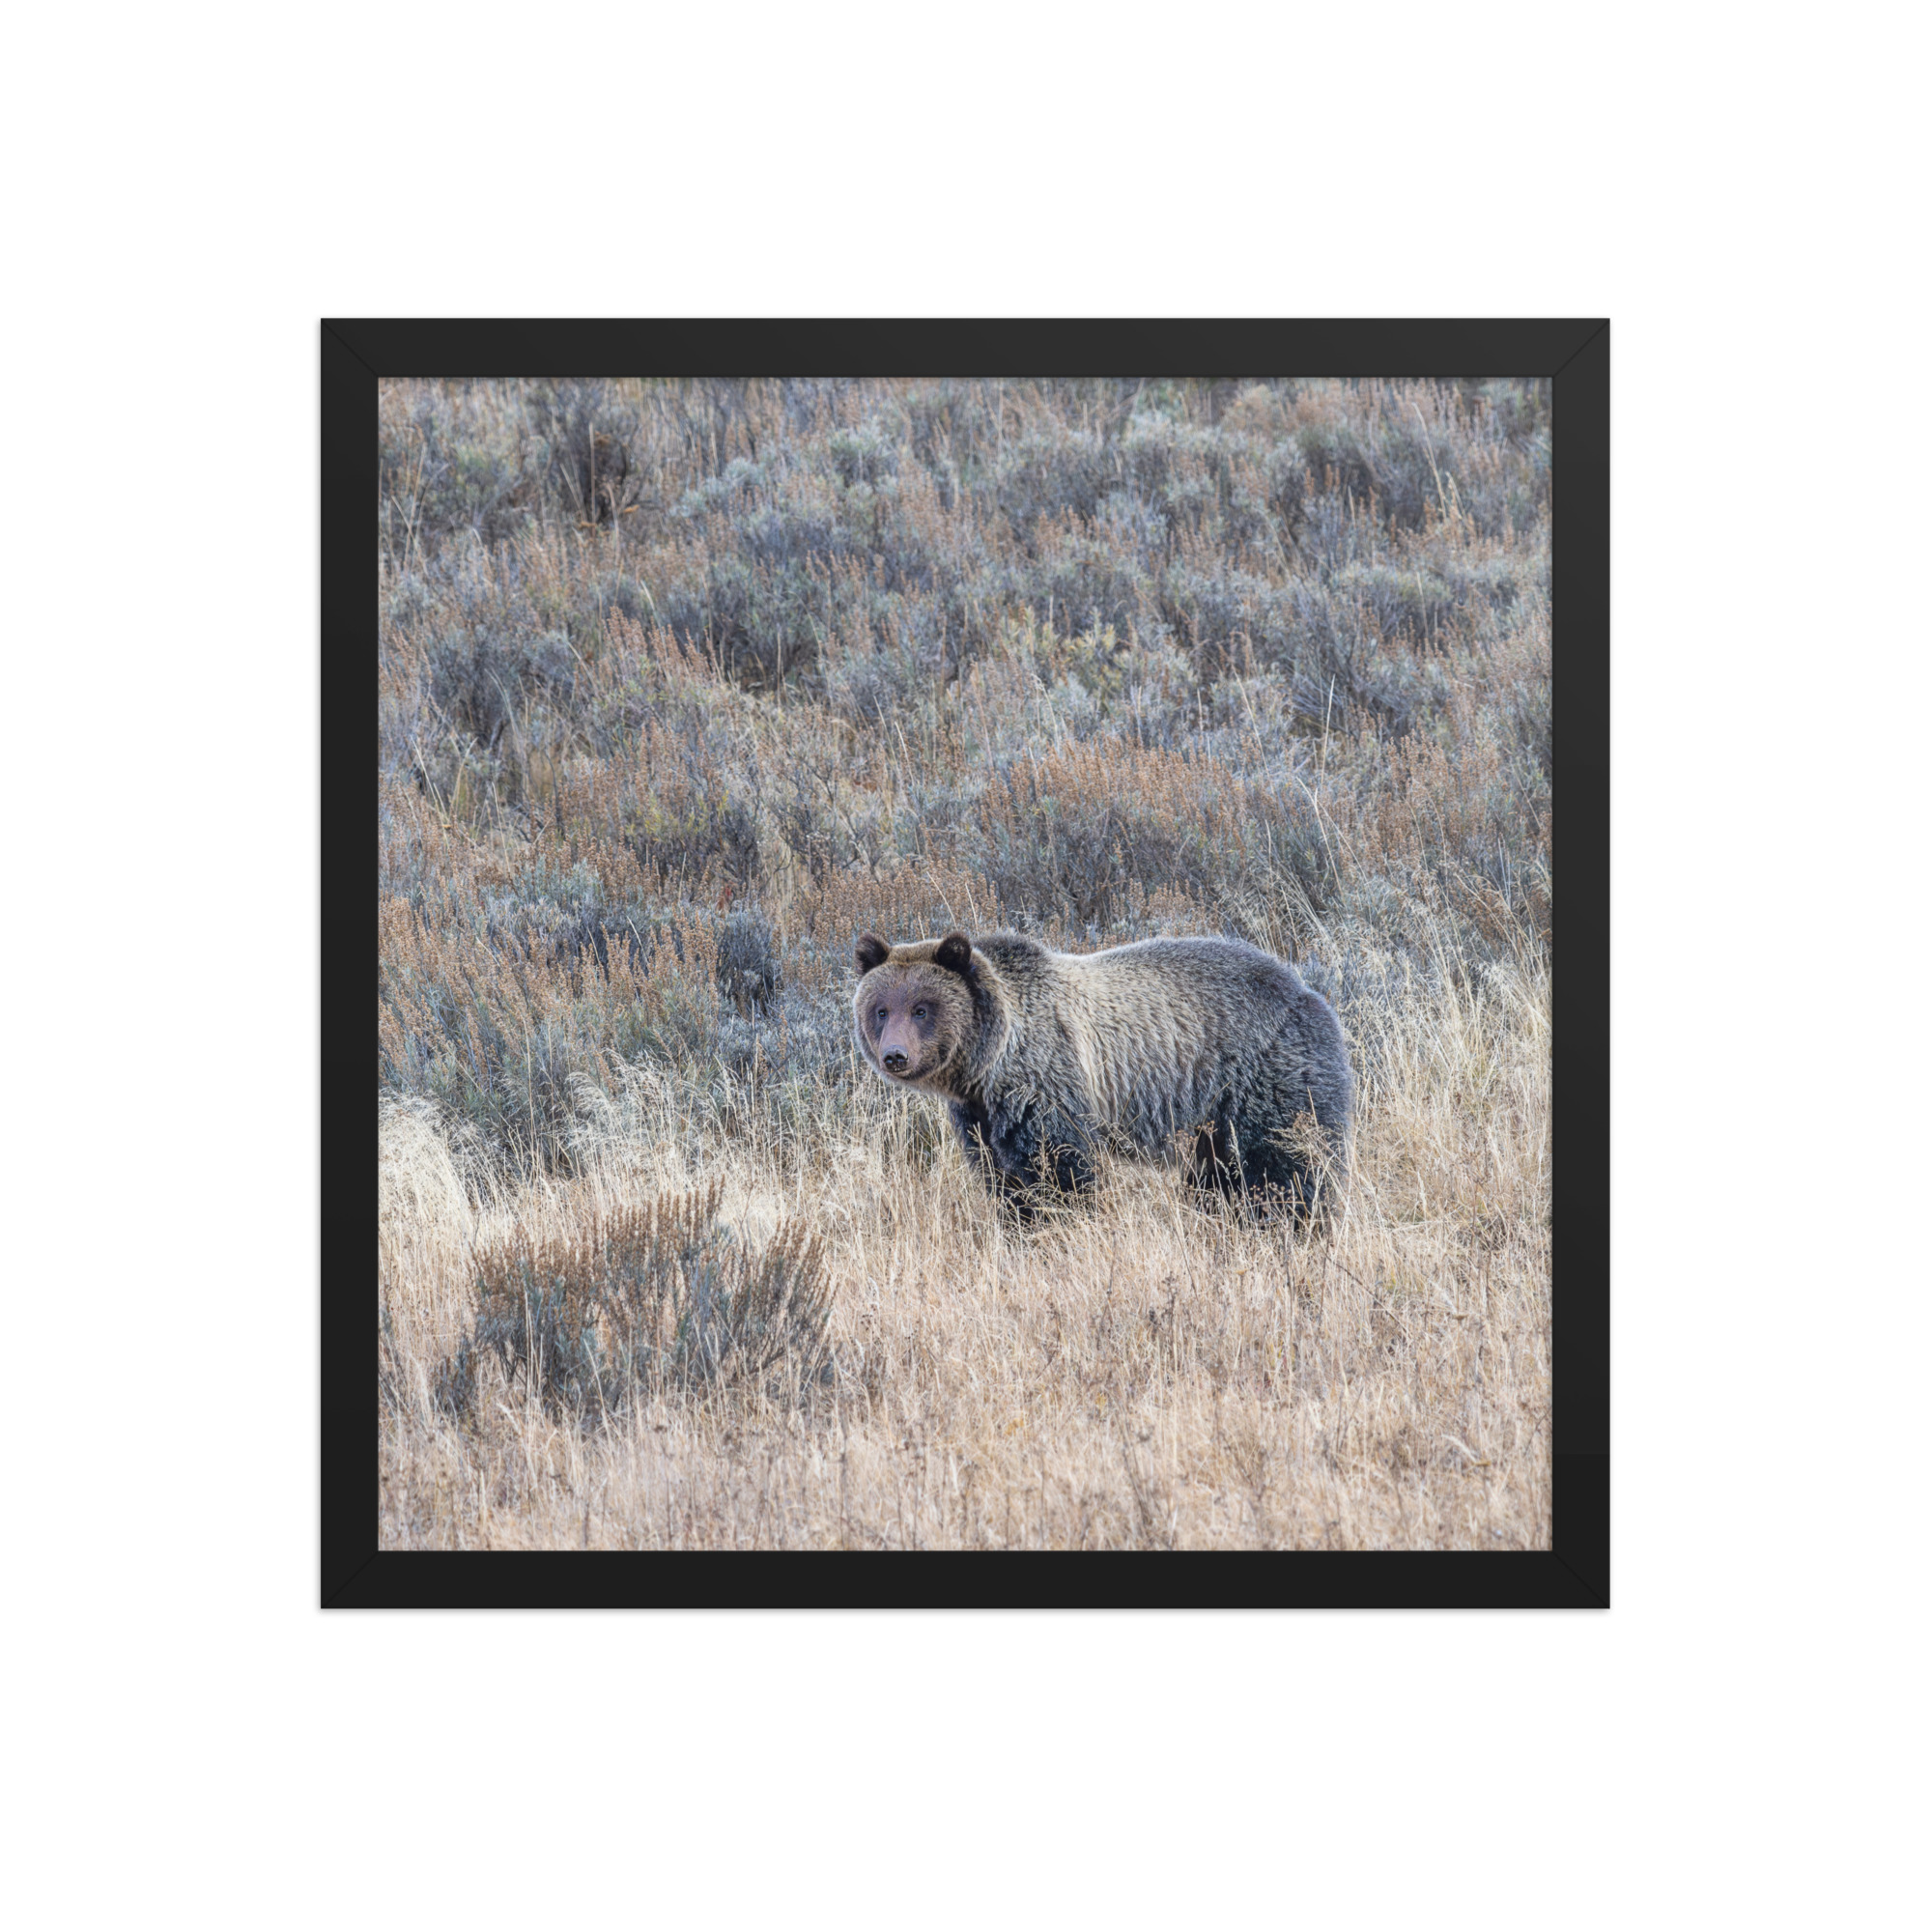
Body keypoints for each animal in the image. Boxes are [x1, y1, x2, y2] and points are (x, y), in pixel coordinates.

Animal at [853, 928, 1353, 1218]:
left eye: (922, 1008)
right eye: (881, 1009)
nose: (895, 1056)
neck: (988, 1064)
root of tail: (1308, 991)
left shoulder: (1047, 1083)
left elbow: (1060, 1171)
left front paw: (1060, 1224)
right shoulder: (980, 1116)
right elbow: (1003, 1179)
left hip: (1266, 1077)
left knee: (1285, 1166)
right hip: (1211, 1121)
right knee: (1218, 1178)